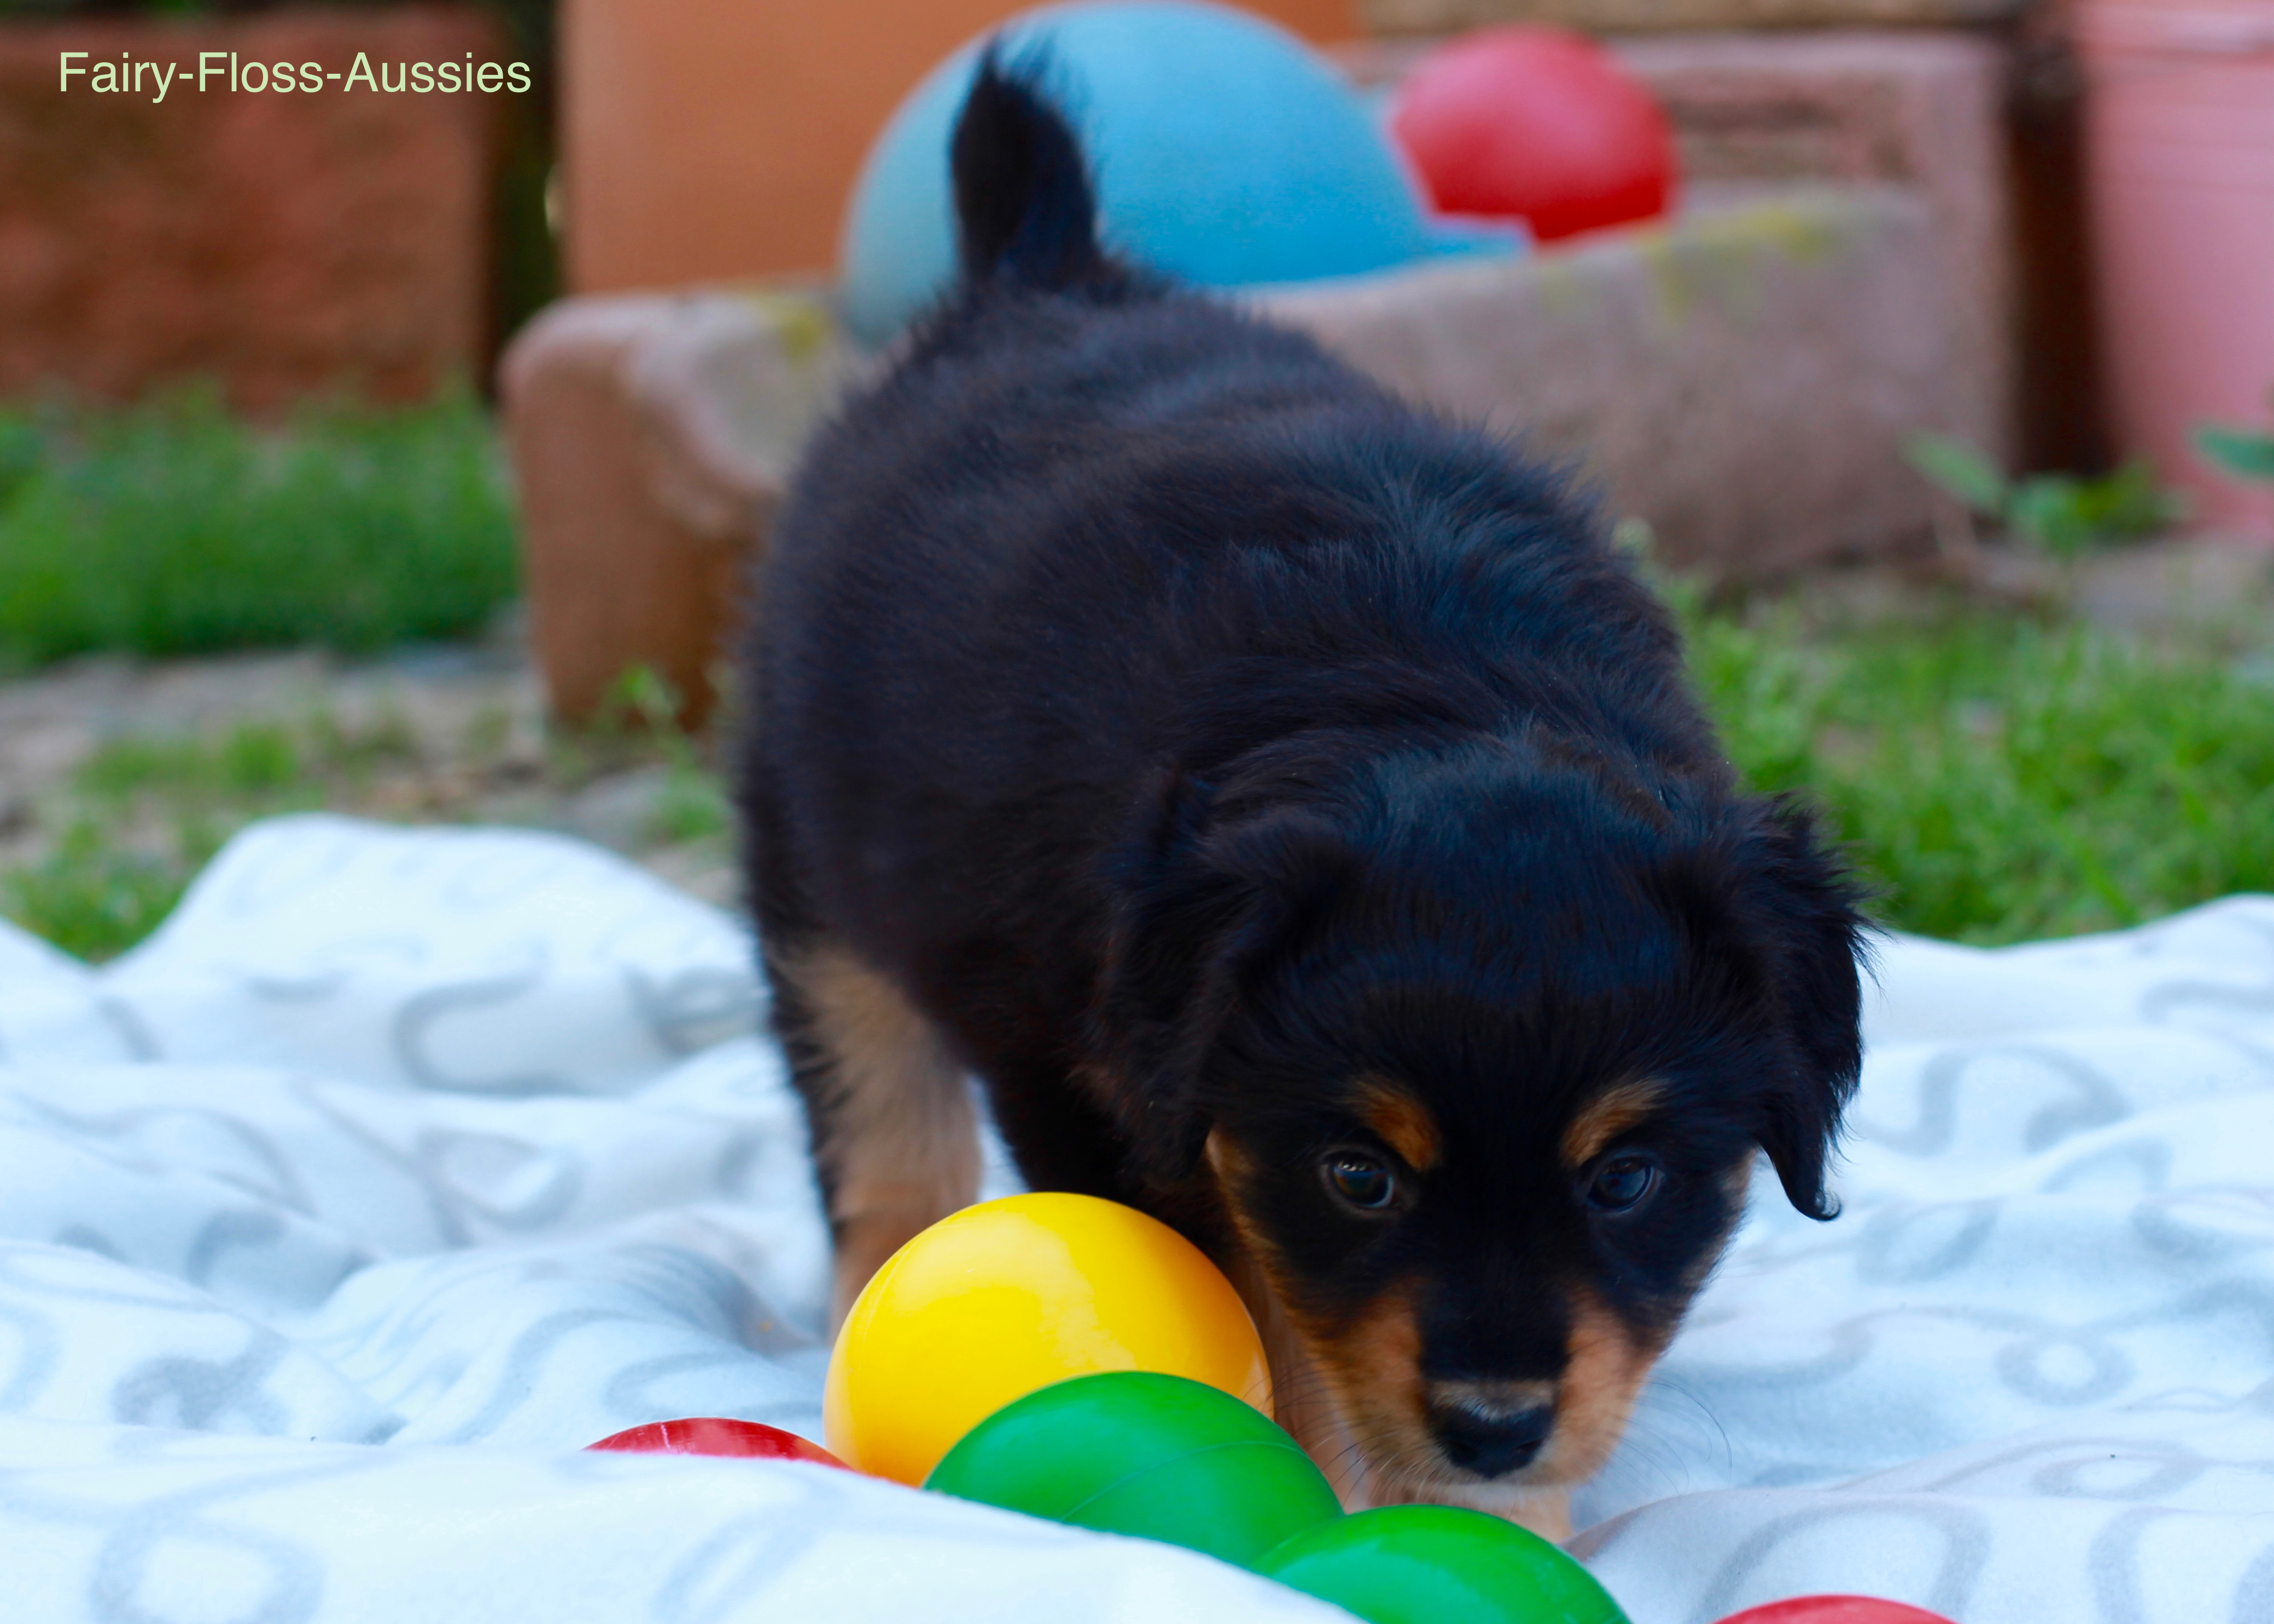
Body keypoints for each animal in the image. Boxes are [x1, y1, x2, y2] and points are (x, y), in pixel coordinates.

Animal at [745, 50, 1864, 1519]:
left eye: (1625, 1178)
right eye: (1358, 1176)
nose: (1494, 1426)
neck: (1432, 687)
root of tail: (1038, 268)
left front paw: (1493, 1523)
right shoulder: (1091, 1084)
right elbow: (1268, 1322)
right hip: (813, 873)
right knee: (880, 1129)